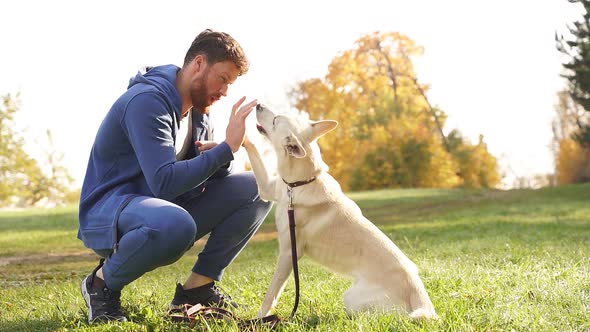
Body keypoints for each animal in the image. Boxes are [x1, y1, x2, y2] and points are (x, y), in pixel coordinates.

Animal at [243, 104, 438, 320]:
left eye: (276, 119)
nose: (258, 105)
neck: (300, 183)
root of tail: (422, 301)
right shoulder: (267, 189)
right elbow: (254, 153)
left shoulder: (288, 252)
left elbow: (272, 292)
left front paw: (259, 318)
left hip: (353, 297)